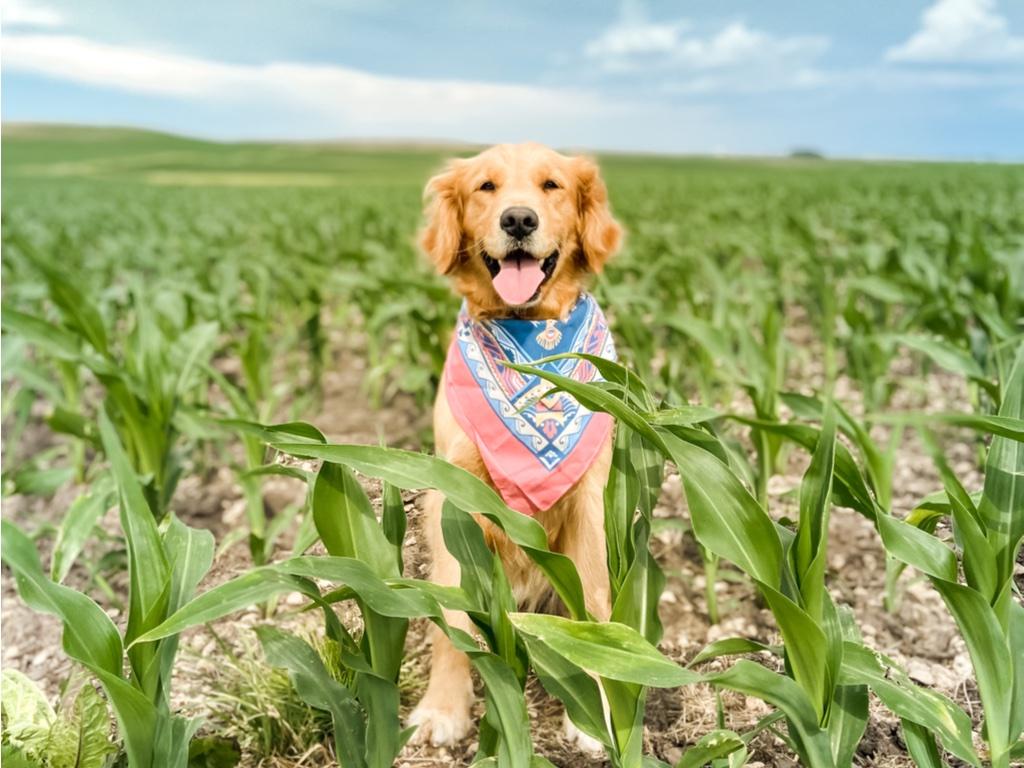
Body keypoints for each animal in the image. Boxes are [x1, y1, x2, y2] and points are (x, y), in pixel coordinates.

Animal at [409, 143, 622, 753]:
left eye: (552, 185)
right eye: (485, 187)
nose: (519, 220)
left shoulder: (588, 500)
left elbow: (593, 599)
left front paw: (596, 715)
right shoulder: (453, 497)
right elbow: (452, 620)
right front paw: (444, 708)